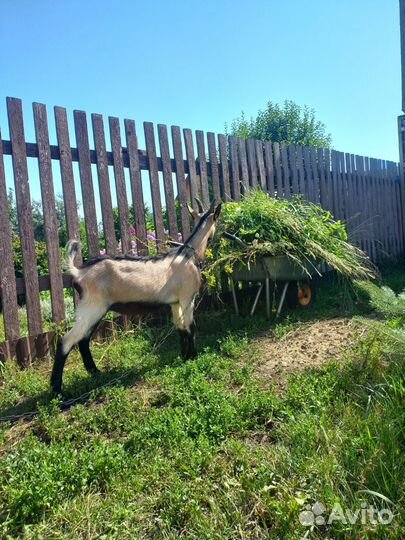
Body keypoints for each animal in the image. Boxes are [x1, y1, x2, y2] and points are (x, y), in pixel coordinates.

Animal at [51, 200, 223, 394]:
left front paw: (183, 356)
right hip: (92, 307)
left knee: (83, 340)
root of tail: (78, 272)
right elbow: (191, 327)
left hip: (94, 310)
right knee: (66, 341)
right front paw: (193, 356)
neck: (189, 255)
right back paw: (57, 390)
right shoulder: (188, 297)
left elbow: (180, 328)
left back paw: (95, 372)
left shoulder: (175, 302)